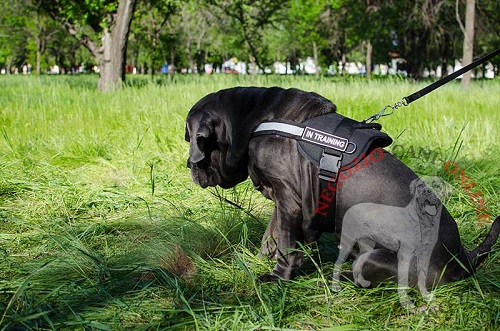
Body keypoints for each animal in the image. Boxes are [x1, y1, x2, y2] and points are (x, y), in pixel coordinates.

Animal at [185, 87, 500, 298]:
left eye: (191, 139)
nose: (189, 164)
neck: (255, 119)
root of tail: (461, 258)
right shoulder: (283, 198)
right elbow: (272, 232)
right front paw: (263, 255)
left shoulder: (289, 200)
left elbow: (286, 243)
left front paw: (278, 277)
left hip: (377, 258)